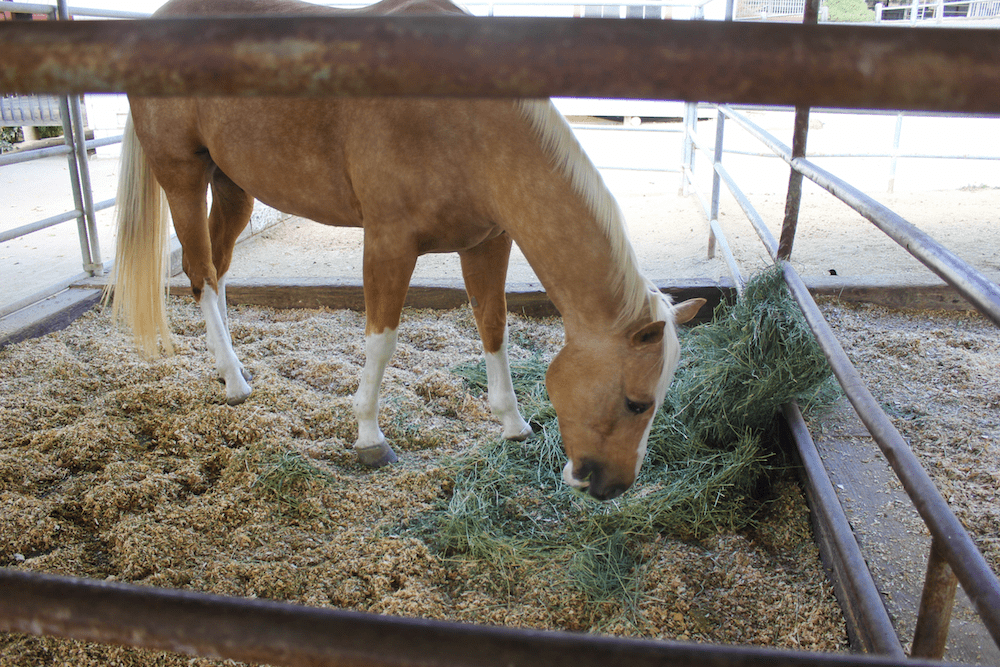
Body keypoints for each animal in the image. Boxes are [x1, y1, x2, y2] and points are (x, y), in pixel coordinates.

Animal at [111, 0, 704, 500]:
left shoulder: (488, 243)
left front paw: (512, 423)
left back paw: (228, 364)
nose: (611, 486)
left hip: (234, 185)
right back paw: (235, 382)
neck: (463, 123)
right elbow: (382, 341)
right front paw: (370, 438)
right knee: (200, 271)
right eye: (636, 402)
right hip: (183, 177)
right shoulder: (389, 244)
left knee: (218, 268)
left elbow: (493, 323)